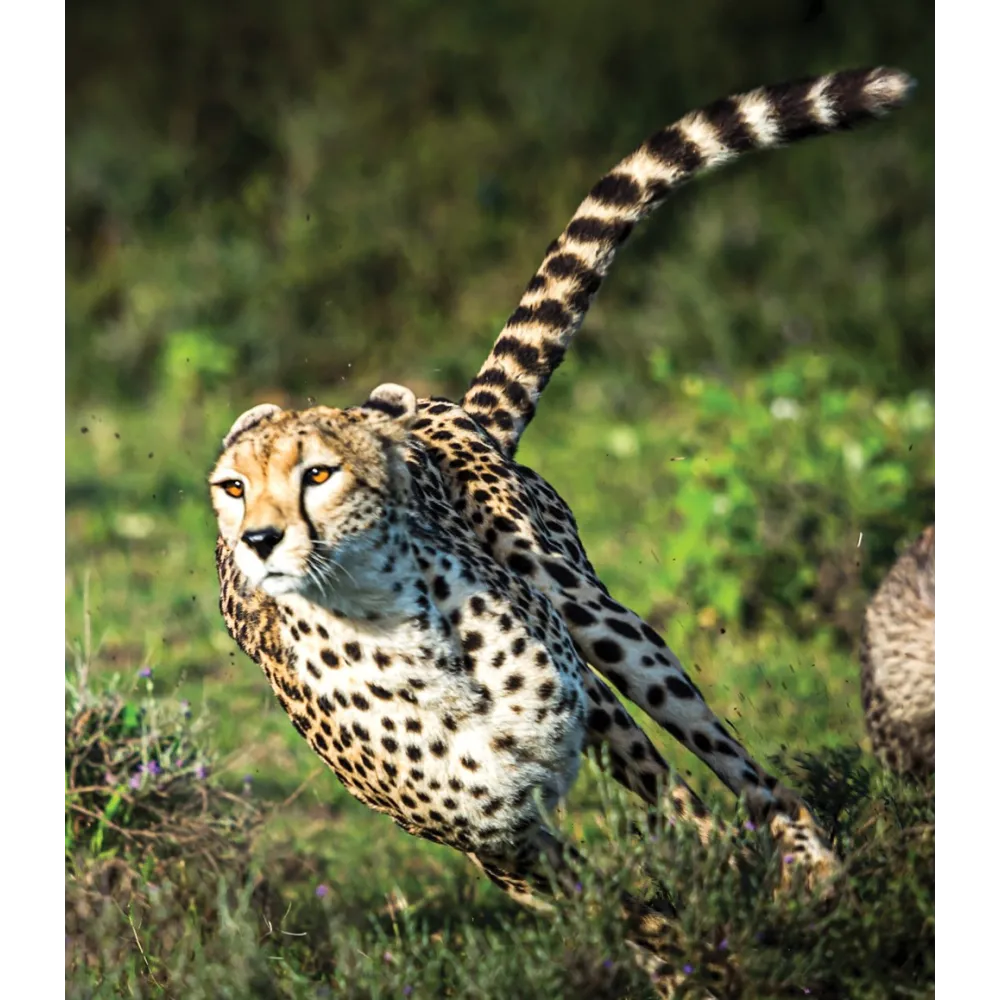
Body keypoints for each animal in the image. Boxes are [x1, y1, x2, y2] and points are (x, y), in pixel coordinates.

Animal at [210, 66, 915, 995]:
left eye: (317, 475)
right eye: (232, 488)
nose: (257, 541)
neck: (397, 636)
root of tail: (435, 406)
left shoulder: (589, 720)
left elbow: (687, 828)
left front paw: (738, 917)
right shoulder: (499, 845)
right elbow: (624, 912)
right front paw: (690, 965)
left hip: (597, 621)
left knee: (739, 769)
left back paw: (812, 867)